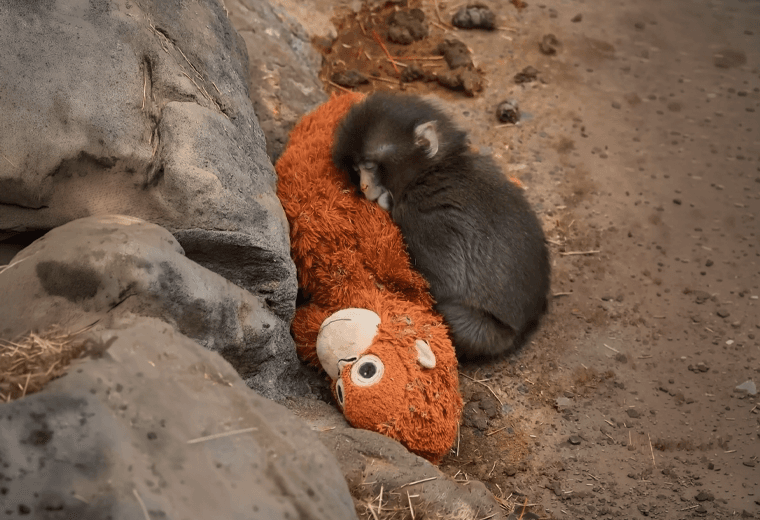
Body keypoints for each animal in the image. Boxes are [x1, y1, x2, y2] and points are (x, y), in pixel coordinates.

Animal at [332, 92, 551, 360]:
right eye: (357, 168)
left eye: (370, 165)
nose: (364, 186)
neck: (429, 171)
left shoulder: (425, 219)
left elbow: (444, 285)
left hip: (486, 333)